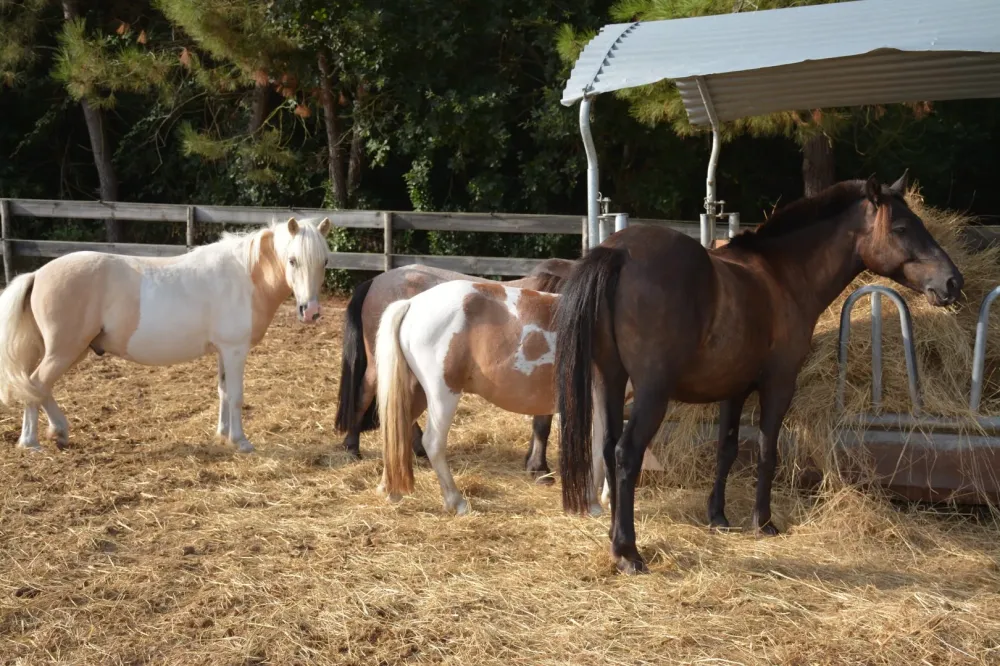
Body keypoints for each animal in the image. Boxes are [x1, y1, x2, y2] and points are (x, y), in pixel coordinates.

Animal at [0, 216, 332, 453]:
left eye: (324, 261)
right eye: (292, 260)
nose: (311, 311)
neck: (245, 276)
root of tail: (37, 274)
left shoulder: (223, 352)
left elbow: (223, 392)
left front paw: (222, 435)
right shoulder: (235, 349)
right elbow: (236, 396)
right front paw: (240, 441)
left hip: (72, 350)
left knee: (40, 387)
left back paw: (58, 431)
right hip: (64, 350)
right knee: (35, 384)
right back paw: (31, 442)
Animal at [334, 259, 575, 481]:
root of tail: (375, 281)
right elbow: (542, 425)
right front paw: (539, 469)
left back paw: (418, 448)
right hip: (380, 364)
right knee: (365, 394)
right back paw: (352, 446)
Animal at [555, 174, 964, 575]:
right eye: (900, 227)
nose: (952, 282)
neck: (783, 275)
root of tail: (618, 252)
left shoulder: (733, 390)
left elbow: (727, 449)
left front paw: (718, 518)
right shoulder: (779, 384)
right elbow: (768, 451)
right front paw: (763, 522)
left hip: (609, 379)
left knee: (607, 448)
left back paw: (613, 537)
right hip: (651, 392)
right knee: (626, 453)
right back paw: (628, 552)